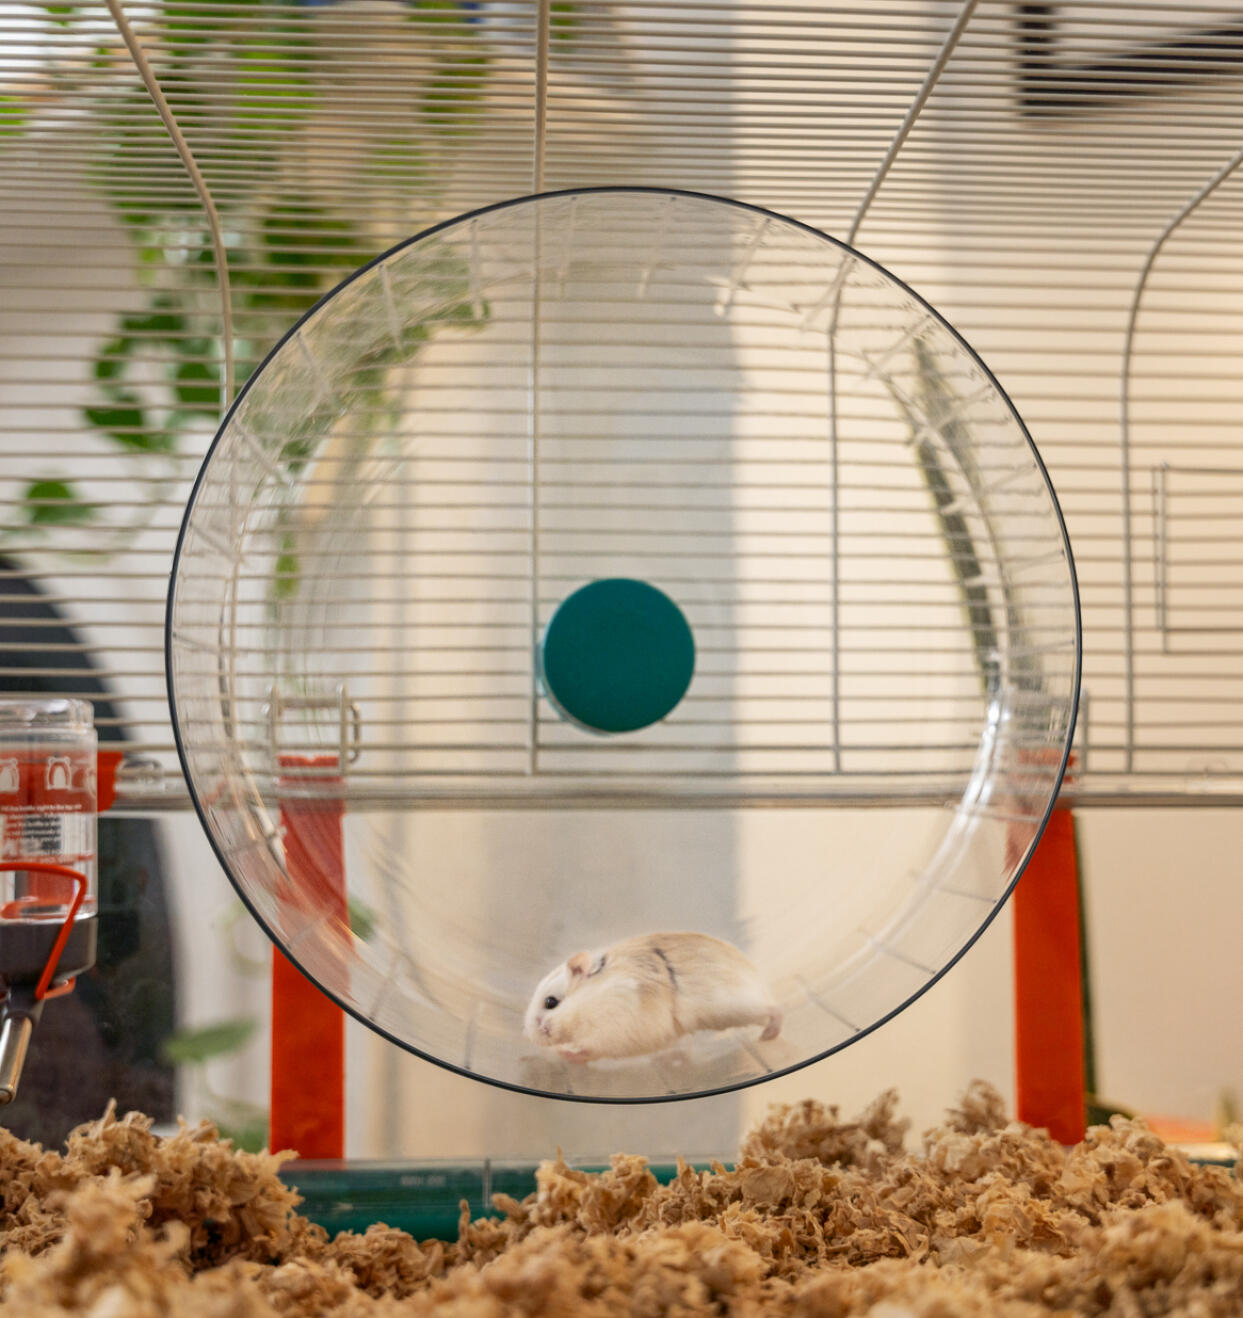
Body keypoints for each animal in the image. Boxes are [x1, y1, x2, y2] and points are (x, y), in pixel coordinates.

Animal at [523, 931, 782, 1064]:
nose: (530, 1036)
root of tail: (760, 979)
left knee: (774, 1009)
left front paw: (564, 1054)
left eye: (550, 1002)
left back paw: (768, 1036)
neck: (591, 999)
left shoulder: (612, 1033)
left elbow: (589, 1050)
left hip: (738, 1007)